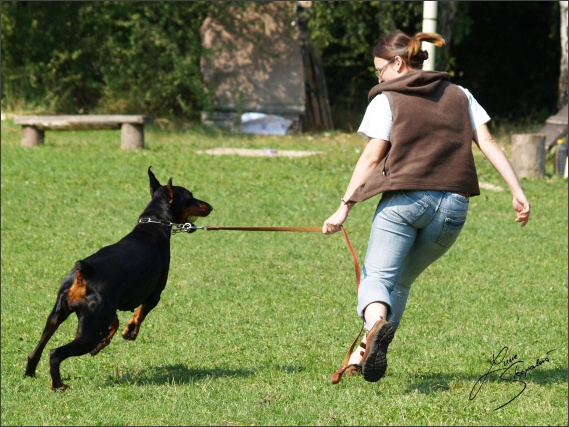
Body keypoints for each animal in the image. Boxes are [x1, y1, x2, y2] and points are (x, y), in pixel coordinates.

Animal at [23, 167, 211, 392]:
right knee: (55, 353)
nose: (210, 206)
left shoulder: (110, 306)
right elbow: (139, 314)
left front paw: (106, 340)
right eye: (191, 197)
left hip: (56, 316)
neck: (153, 227)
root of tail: (83, 272)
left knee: (37, 349)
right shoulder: (154, 295)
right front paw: (130, 331)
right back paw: (58, 385)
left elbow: (115, 322)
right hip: (88, 331)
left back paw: (31, 373)